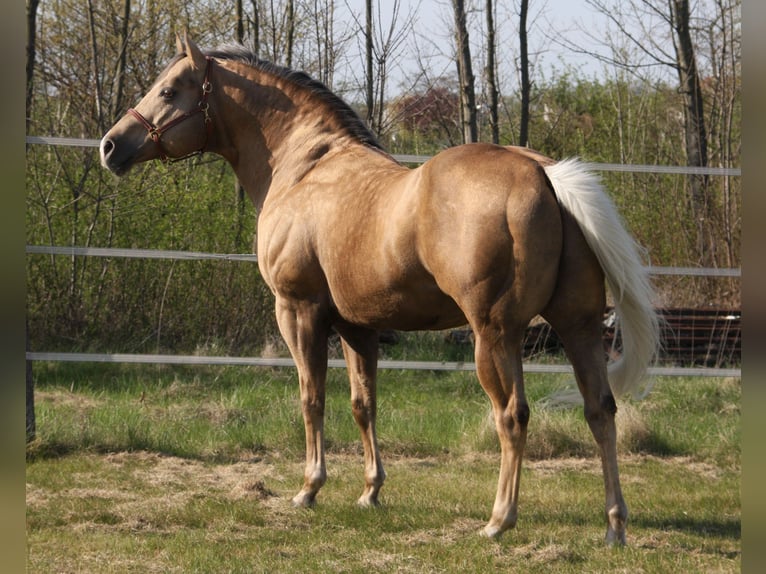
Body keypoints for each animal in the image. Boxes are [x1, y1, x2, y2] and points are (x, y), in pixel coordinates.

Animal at [100, 33, 659, 544]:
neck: (304, 167)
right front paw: (370, 490)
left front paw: (309, 488)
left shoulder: (298, 312)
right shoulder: (359, 328)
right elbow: (362, 403)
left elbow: (312, 398)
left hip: (495, 334)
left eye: (169, 90)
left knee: (512, 415)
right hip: (577, 326)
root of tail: (541, 172)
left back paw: (499, 519)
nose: (110, 145)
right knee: (601, 410)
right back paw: (614, 525)